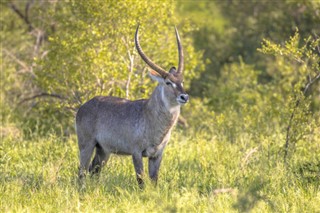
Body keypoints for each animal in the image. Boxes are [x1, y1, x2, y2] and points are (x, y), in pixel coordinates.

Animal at [76, 25, 189, 186]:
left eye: (182, 81)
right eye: (168, 82)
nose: (184, 97)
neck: (150, 116)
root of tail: (83, 106)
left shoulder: (157, 155)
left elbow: (154, 180)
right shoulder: (136, 152)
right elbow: (141, 180)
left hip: (103, 150)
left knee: (94, 171)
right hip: (86, 144)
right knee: (82, 171)